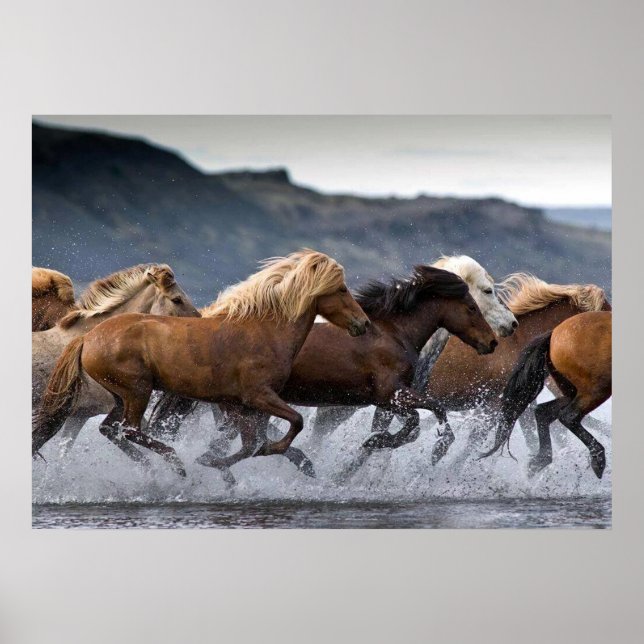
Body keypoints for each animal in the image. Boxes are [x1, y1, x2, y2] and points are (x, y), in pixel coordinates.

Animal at [481, 311, 612, 479]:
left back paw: (540, 460)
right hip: (597, 389)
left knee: (543, 411)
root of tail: (553, 334)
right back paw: (598, 459)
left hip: (573, 391)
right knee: (568, 416)